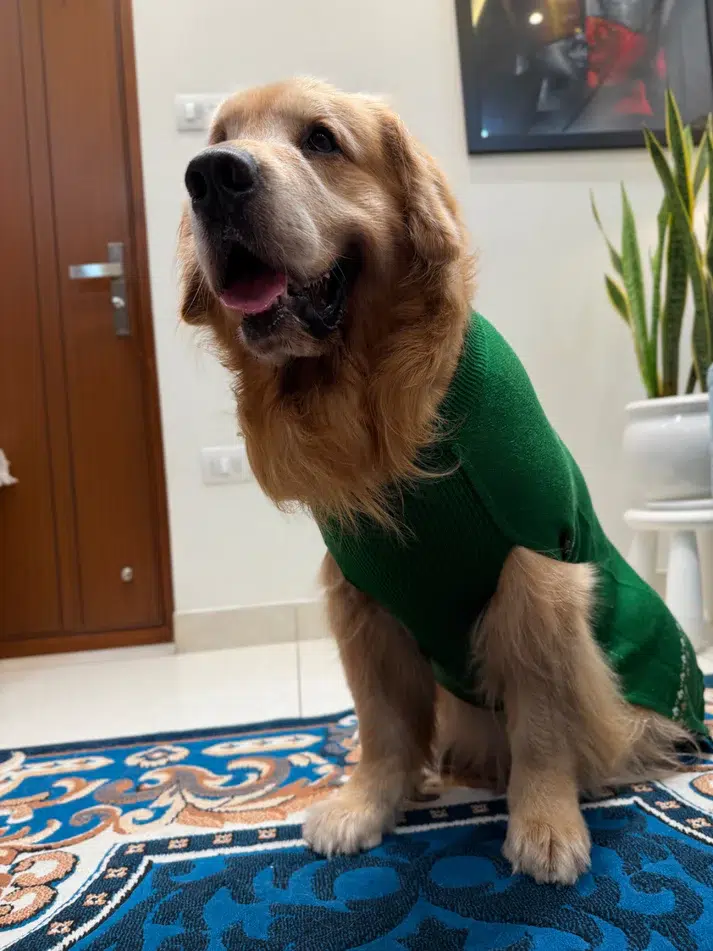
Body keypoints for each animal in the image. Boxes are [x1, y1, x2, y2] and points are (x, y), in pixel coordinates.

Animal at [178, 78, 707, 885]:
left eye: (321, 140)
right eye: (219, 136)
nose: (209, 175)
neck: (374, 406)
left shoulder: (534, 572)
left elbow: (541, 721)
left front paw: (545, 823)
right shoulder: (362, 597)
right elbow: (382, 724)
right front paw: (369, 802)